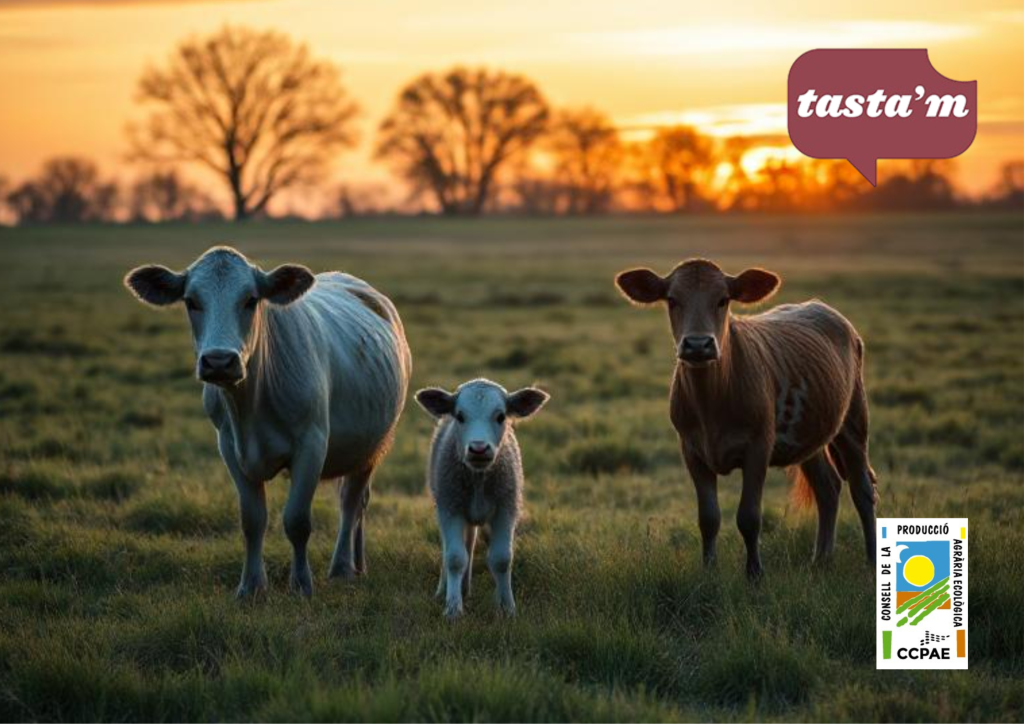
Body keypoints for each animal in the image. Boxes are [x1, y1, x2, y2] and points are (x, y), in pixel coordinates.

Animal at [126, 246, 411, 598]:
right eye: (191, 301)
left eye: (251, 299)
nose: (219, 361)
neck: (250, 406)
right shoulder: (230, 447)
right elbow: (252, 521)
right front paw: (250, 586)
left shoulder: (312, 444)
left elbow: (297, 521)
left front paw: (301, 584)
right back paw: (357, 565)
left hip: (372, 444)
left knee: (352, 502)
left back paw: (343, 567)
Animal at [413, 376, 548, 618]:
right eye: (460, 416)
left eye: (501, 416)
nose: (478, 448)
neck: (478, 478)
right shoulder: (450, 508)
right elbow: (455, 558)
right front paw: (453, 609)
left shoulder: (506, 509)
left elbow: (502, 559)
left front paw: (507, 608)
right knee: (452, 549)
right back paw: (446, 590)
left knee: (470, 542)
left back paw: (465, 588)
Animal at [614, 258, 880, 581]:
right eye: (673, 300)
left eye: (723, 300)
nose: (698, 345)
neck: (711, 402)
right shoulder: (691, 450)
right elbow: (708, 518)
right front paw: (709, 572)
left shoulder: (758, 447)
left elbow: (749, 517)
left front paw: (754, 575)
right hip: (811, 434)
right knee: (827, 488)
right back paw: (820, 560)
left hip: (854, 419)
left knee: (862, 489)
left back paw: (871, 561)